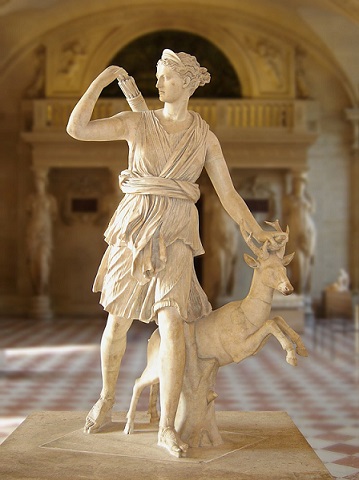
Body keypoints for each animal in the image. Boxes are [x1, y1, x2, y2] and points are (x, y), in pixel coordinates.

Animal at [124, 221, 310, 438]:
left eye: (283, 267)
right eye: (269, 268)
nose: (288, 289)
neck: (247, 314)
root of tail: (151, 339)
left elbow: (277, 318)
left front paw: (302, 349)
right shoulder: (238, 350)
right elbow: (270, 323)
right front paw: (291, 356)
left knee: (155, 384)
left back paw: (153, 417)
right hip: (155, 364)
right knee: (138, 381)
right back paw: (129, 427)